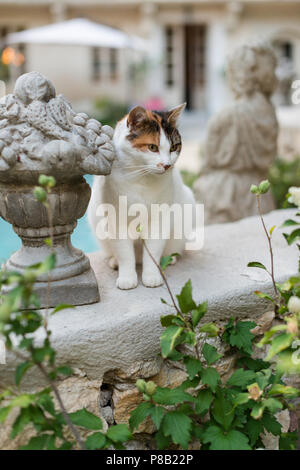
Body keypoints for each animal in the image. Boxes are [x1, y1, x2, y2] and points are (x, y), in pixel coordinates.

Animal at [88, 104, 196, 288]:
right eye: (152, 147)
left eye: (174, 147)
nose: (167, 165)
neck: (141, 179)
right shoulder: (117, 221)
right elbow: (125, 254)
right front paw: (127, 278)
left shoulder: (160, 220)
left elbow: (153, 250)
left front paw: (152, 276)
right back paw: (115, 262)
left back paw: (169, 259)